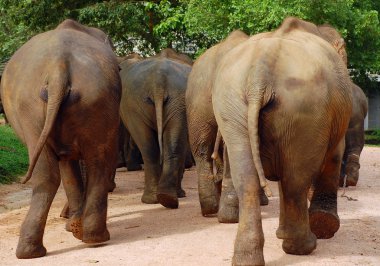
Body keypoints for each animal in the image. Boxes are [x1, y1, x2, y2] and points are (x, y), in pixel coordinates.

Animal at [0, 19, 121, 258]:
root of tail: (59, 67)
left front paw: (71, 225)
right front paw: (72, 225)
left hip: (35, 109)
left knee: (52, 171)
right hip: (93, 99)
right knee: (95, 163)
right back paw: (89, 237)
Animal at [211, 17, 350, 264]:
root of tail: (260, 71)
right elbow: (335, 153)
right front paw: (325, 227)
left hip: (231, 104)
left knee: (247, 178)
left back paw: (248, 259)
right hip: (306, 108)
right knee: (296, 178)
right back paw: (303, 246)